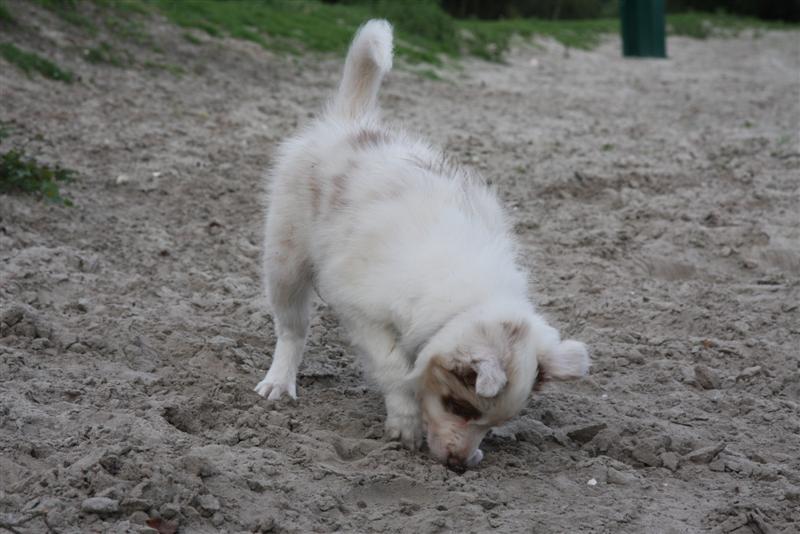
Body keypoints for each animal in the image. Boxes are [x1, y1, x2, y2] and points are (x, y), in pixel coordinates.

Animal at [254, 20, 589, 470]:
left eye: (493, 422)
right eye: (459, 406)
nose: (459, 465)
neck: (467, 300)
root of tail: (349, 121)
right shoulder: (364, 311)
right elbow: (396, 369)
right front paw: (405, 425)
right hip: (285, 256)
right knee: (292, 328)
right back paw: (279, 382)